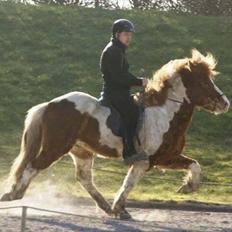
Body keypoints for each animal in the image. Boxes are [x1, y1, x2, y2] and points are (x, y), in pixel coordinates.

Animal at [0, 48, 229, 219]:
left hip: (81, 151)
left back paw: (105, 207)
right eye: (204, 82)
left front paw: (188, 187)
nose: (225, 103)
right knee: (33, 166)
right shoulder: (146, 160)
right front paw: (120, 208)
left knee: (84, 178)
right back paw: (13, 194)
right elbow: (129, 183)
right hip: (55, 147)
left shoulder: (166, 157)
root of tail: (50, 104)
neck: (164, 113)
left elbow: (195, 165)